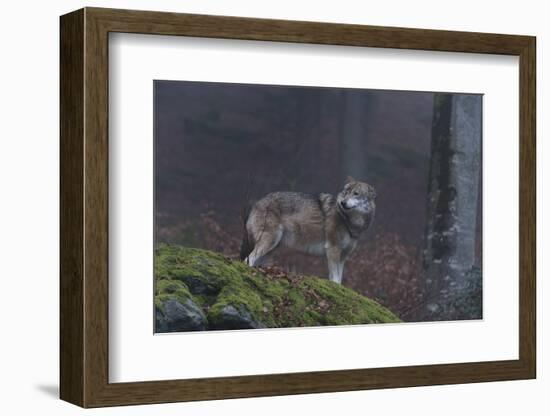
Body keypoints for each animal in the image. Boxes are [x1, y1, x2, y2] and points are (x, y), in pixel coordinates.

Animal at [243, 177, 380, 284]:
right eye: (346, 193)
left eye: (356, 193)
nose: (343, 202)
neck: (348, 220)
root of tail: (257, 203)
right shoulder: (333, 249)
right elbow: (335, 278)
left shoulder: (343, 256)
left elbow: (339, 279)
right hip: (269, 241)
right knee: (249, 259)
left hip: (272, 249)